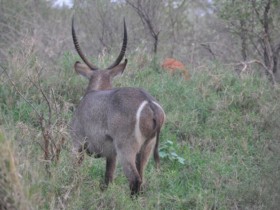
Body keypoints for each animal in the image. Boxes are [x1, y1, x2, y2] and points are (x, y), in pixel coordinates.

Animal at [70, 16, 165, 195]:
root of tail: (149, 103)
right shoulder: (111, 155)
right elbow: (108, 179)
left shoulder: (77, 144)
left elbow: (75, 173)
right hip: (146, 149)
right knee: (142, 180)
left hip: (126, 149)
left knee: (135, 180)